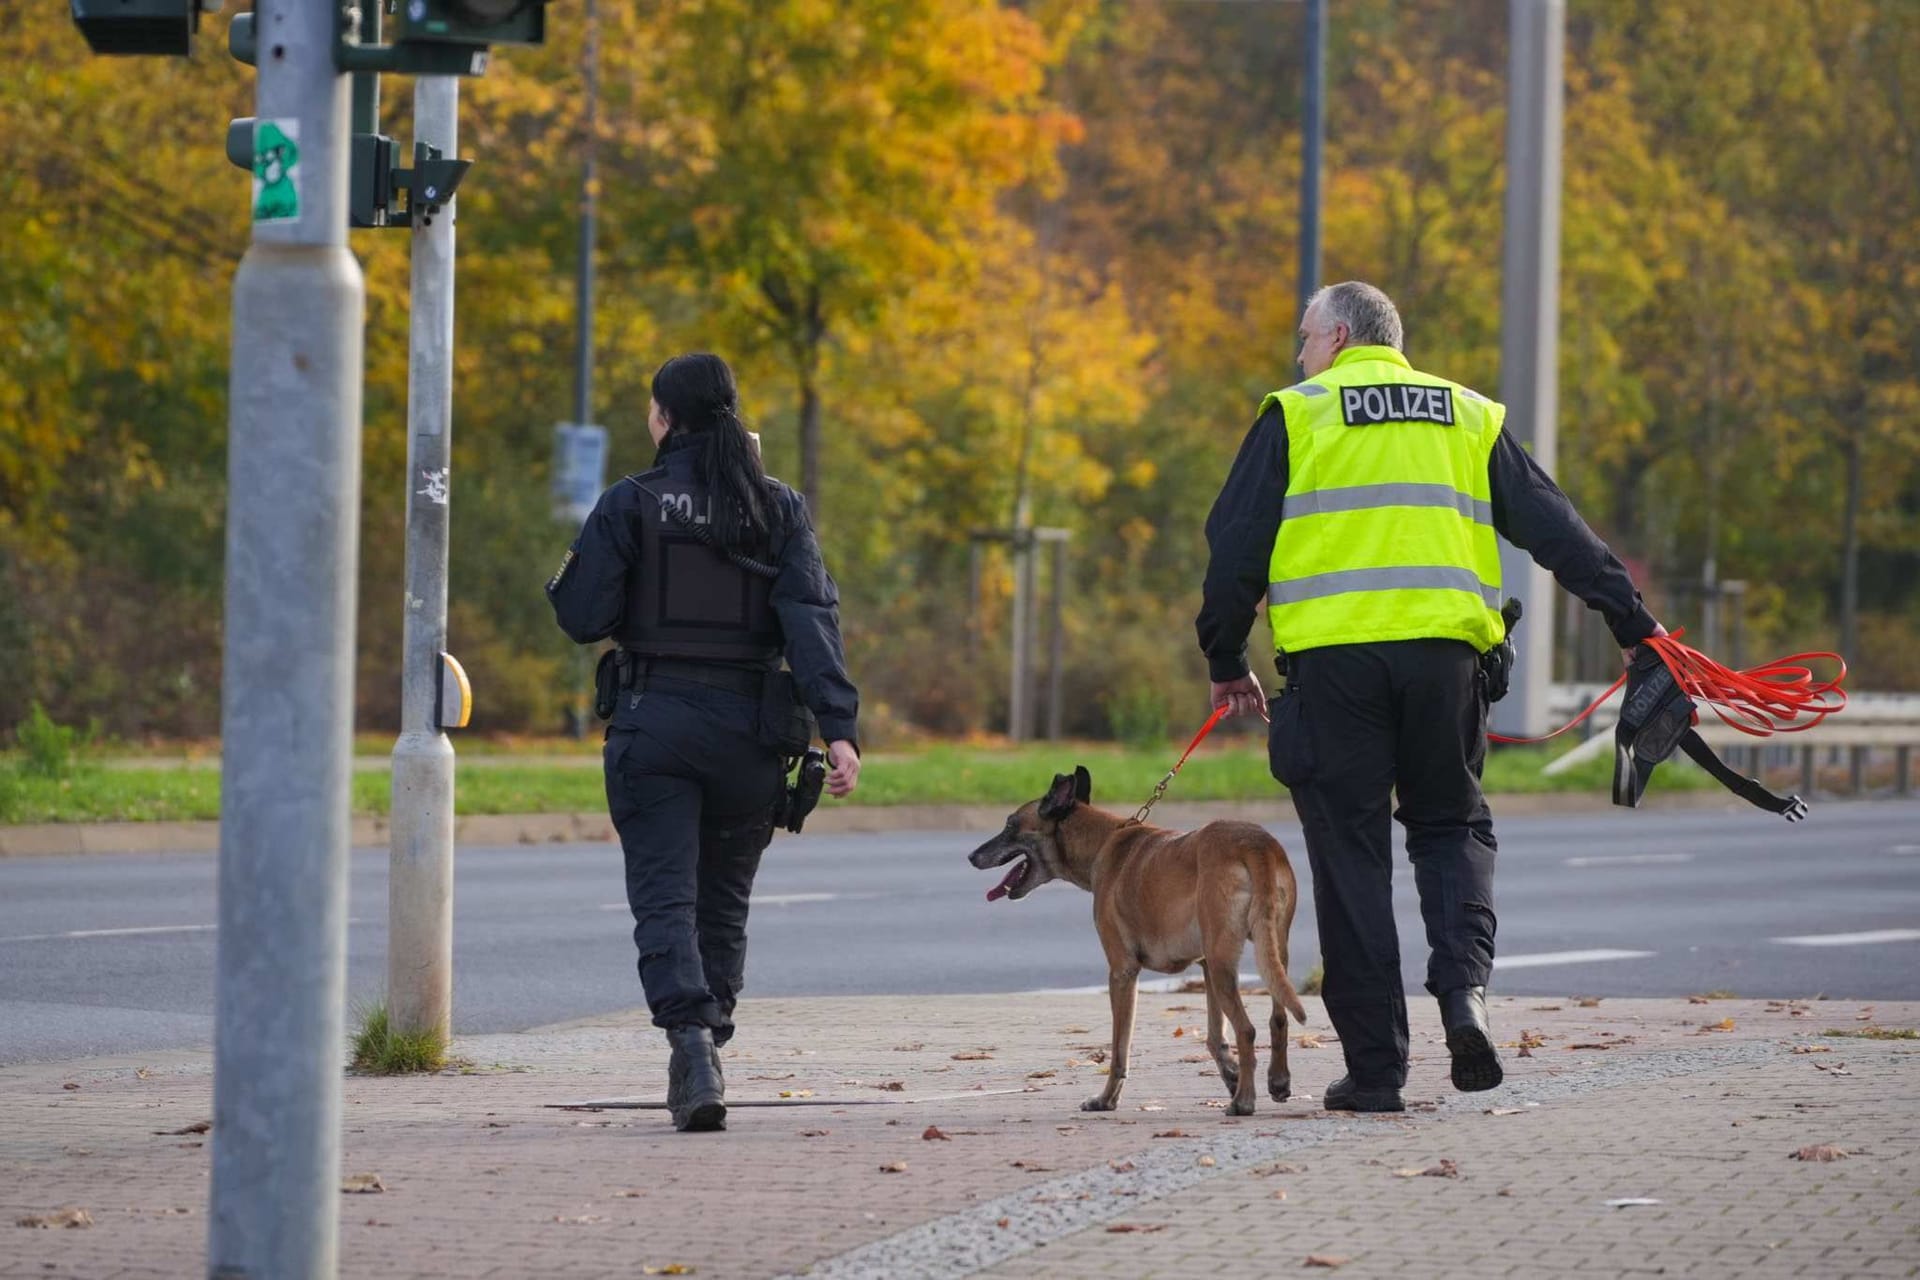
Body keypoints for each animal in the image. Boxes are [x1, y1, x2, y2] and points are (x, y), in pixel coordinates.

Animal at [975, 767, 1305, 1113]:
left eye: (1010, 825)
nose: (972, 856)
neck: (1104, 841)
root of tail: (1255, 844)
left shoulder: (1123, 972)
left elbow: (1120, 1050)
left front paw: (1106, 1099)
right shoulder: (1205, 966)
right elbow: (1215, 1038)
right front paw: (1231, 1075)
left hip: (1223, 963)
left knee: (1247, 1029)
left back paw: (1243, 1101)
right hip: (1266, 954)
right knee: (1278, 1018)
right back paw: (1276, 1081)